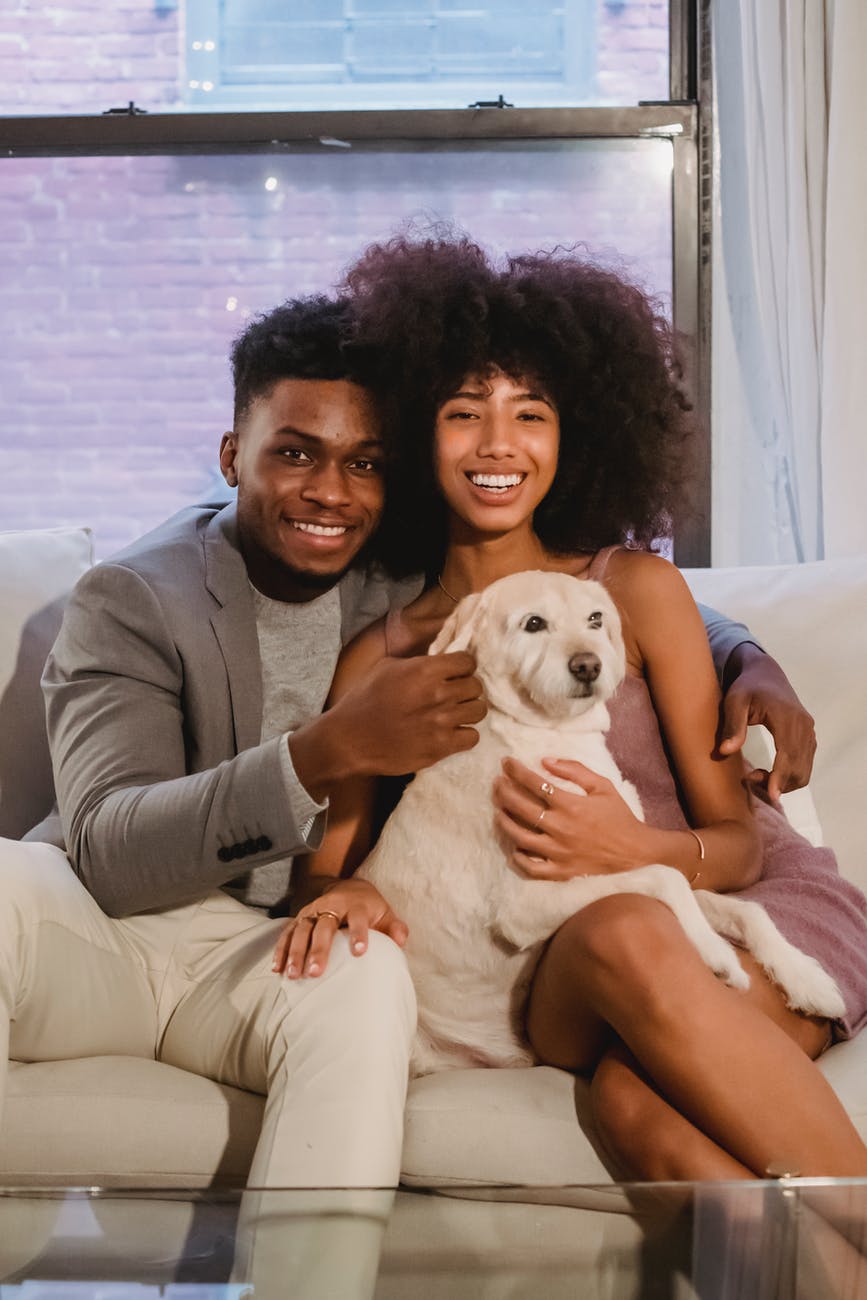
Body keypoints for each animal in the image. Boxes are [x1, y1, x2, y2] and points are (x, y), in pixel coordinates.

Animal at [356, 572, 842, 1076]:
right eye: (534, 623)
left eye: (595, 619)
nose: (589, 665)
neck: (551, 737)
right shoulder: (523, 905)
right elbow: (667, 879)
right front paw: (715, 955)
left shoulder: (620, 858)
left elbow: (743, 908)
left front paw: (806, 978)